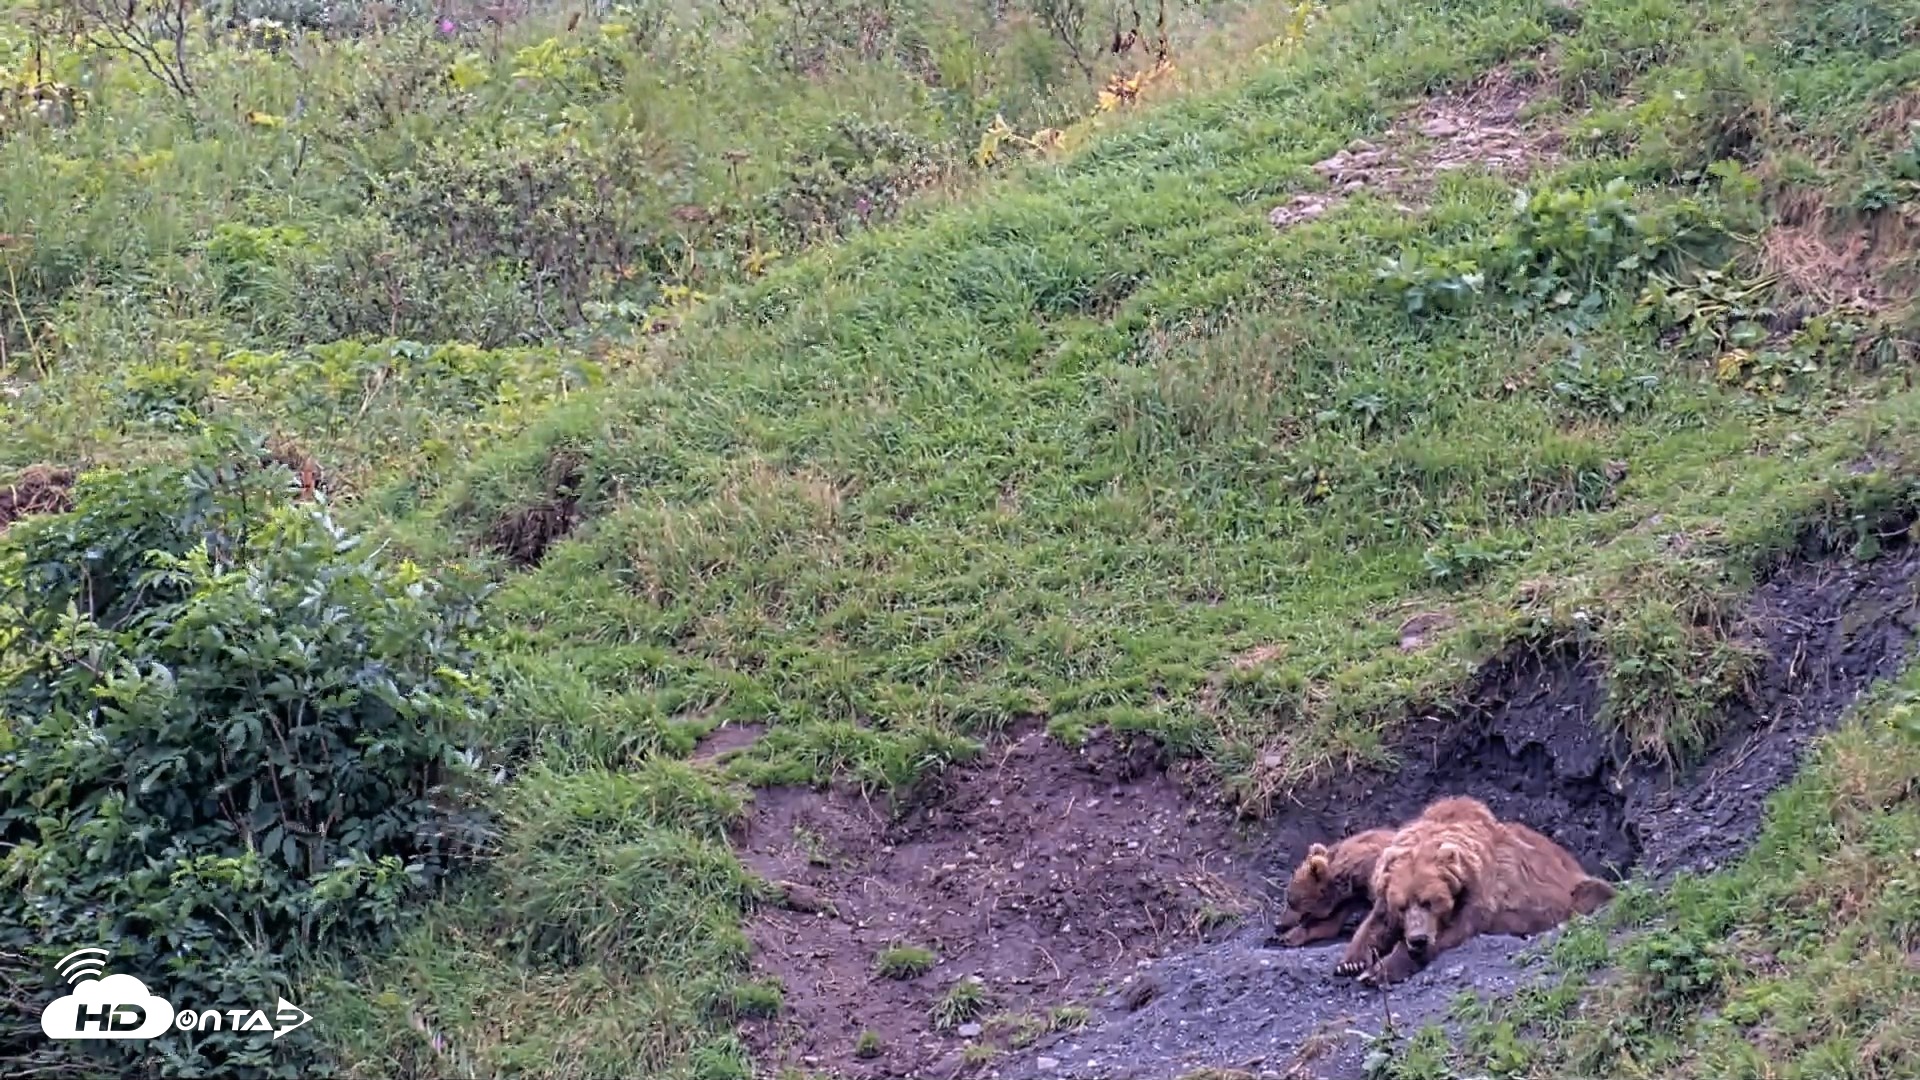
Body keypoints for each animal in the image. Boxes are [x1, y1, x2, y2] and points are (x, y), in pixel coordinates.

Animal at [1334, 796, 1615, 986]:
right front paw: (1352, 962)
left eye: (1429, 902)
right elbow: (1377, 921)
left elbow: (1454, 931)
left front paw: (1379, 970)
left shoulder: (1479, 891)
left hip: (1571, 888)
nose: (1418, 938)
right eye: (1402, 906)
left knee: (1592, 891)